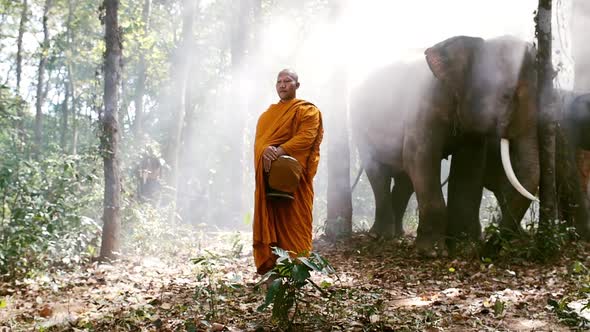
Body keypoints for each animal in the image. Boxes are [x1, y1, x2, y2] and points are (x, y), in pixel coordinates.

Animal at [352, 35, 540, 256]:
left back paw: (398, 234)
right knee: (379, 173)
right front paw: (432, 253)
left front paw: (464, 247)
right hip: (360, 128)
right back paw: (381, 236)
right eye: (506, 96)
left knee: (404, 181)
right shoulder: (422, 109)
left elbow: (469, 166)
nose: (487, 250)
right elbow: (420, 158)